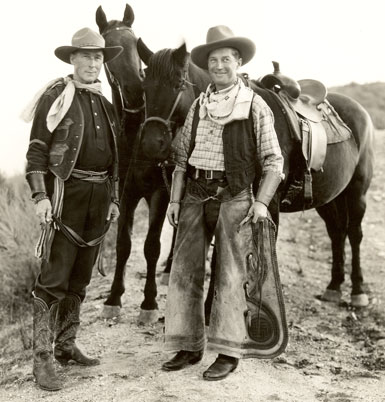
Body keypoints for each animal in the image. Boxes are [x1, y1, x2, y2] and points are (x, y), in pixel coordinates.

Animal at [95, 3, 176, 324]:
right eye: (107, 47)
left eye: (133, 43)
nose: (133, 90)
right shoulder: (125, 193)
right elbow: (123, 245)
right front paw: (113, 298)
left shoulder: (160, 193)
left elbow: (151, 246)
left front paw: (149, 303)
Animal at [136, 39, 372, 308]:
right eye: (144, 87)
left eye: (178, 84)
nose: (151, 144)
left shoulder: (267, 203)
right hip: (329, 197)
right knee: (337, 232)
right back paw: (334, 286)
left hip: (357, 192)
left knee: (354, 233)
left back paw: (357, 291)